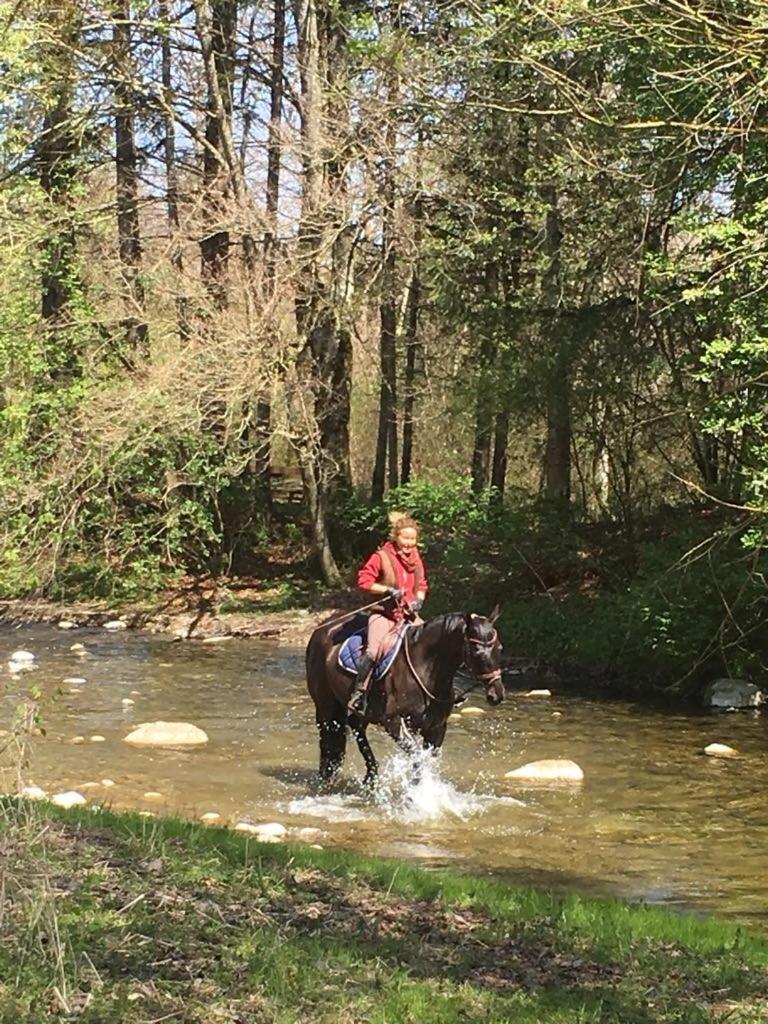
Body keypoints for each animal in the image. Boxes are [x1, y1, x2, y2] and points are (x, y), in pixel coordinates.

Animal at [303, 606, 507, 782]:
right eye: (477, 651)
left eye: (500, 648)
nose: (496, 694)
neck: (425, 667)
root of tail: (323, 628)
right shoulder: (394, 723)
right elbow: (418, 759)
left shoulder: (436, 727)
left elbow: (427, 761)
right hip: (326, 705)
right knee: (328, 736)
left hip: (365, 710)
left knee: (355, 725)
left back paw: (371, 776)